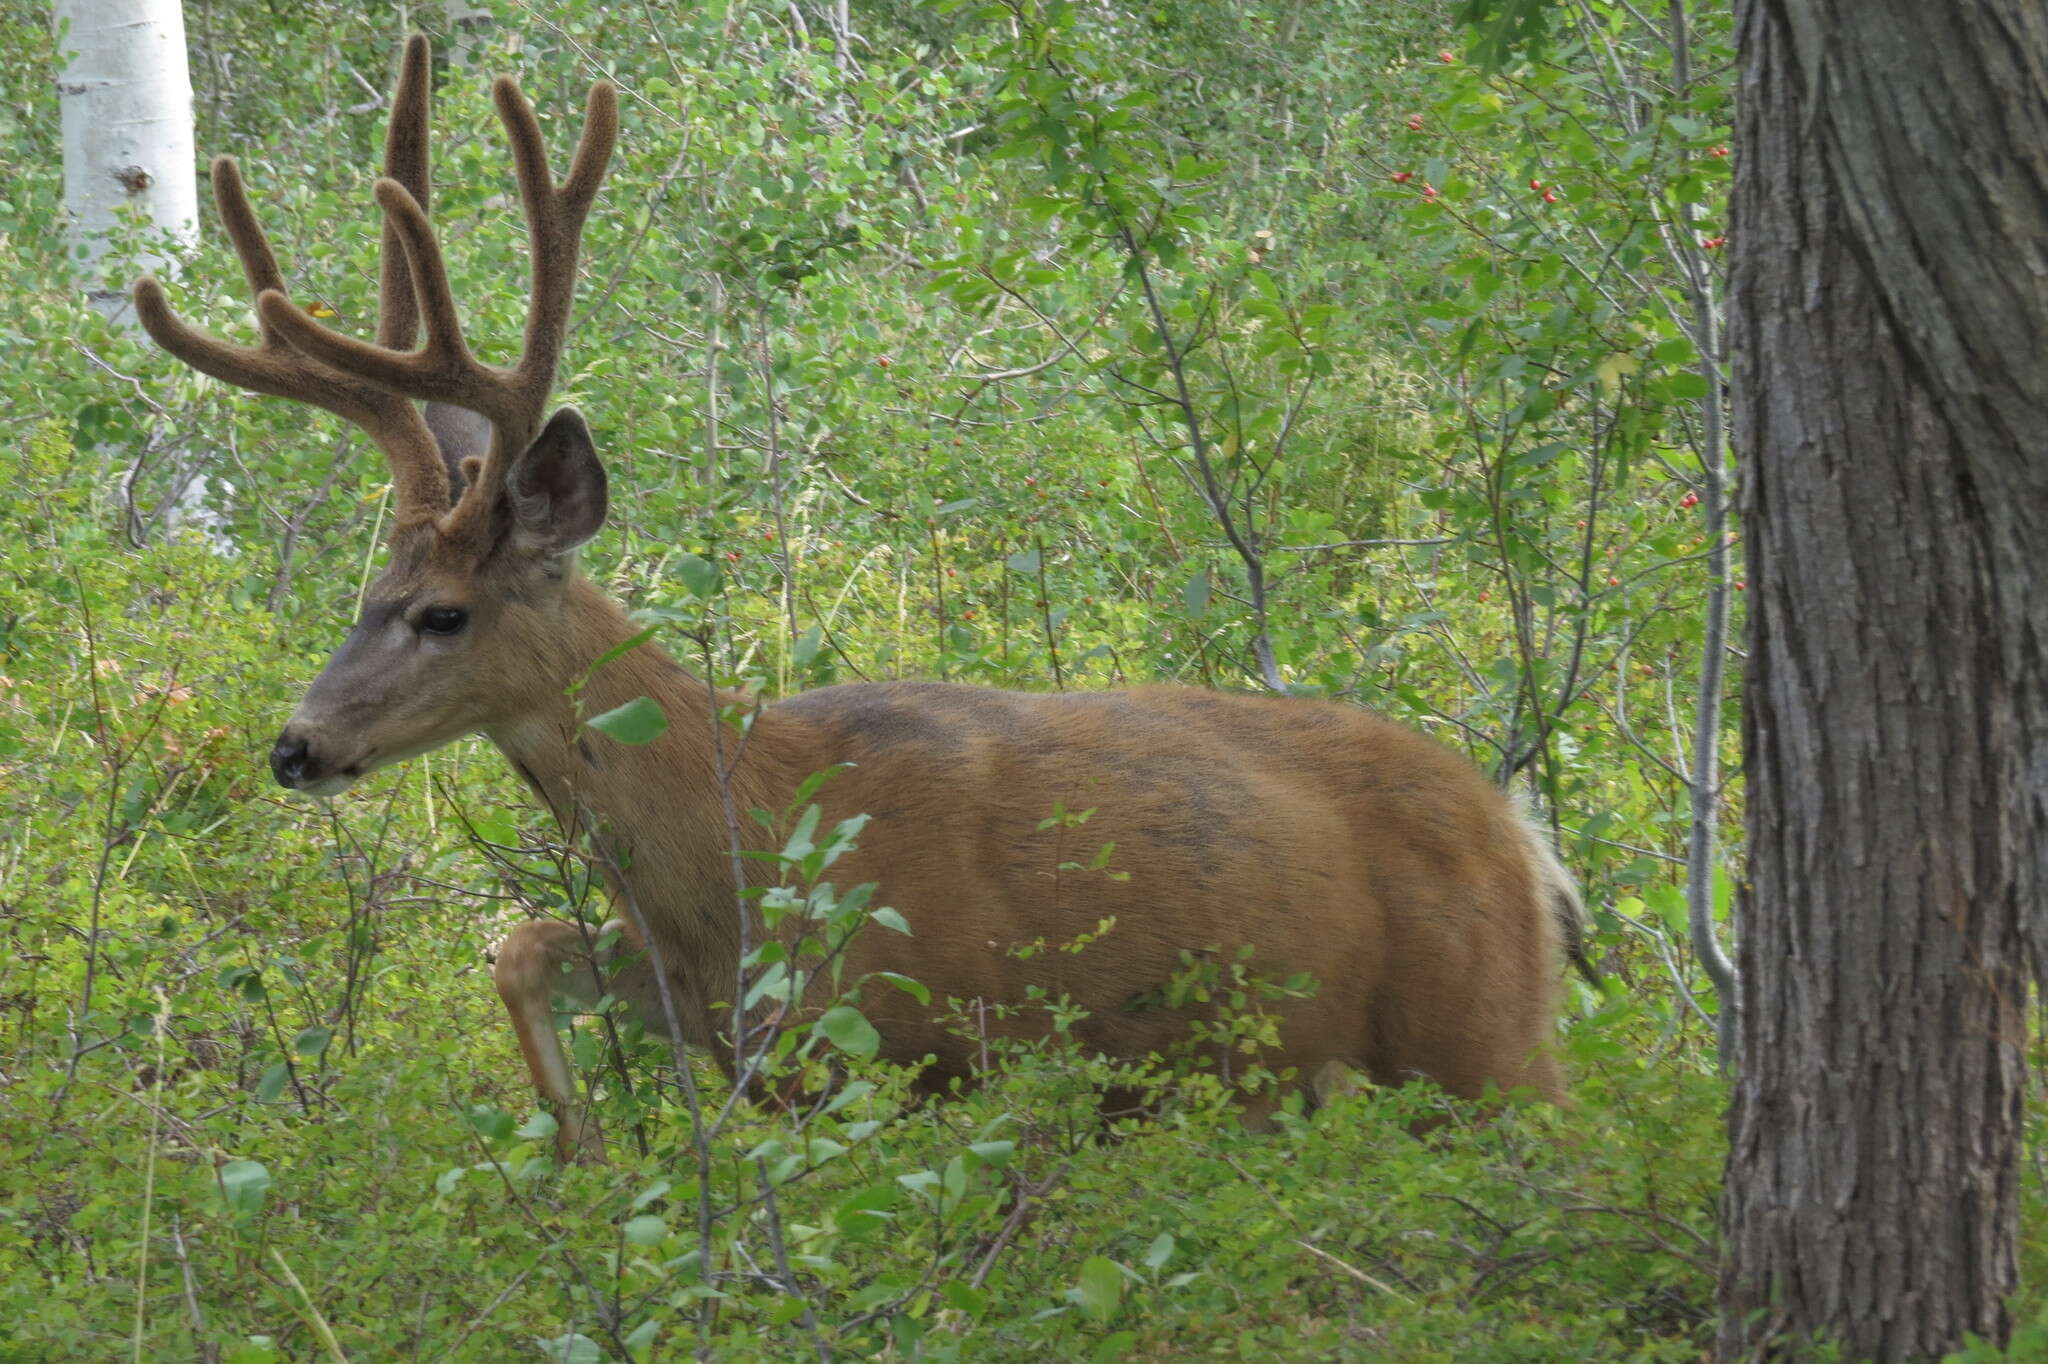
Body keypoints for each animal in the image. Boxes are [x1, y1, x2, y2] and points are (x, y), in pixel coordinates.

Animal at [136, 34, 1581, 1155]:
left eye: (443, 612)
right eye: (364, 589)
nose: (295, 744)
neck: (743, 831)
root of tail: (1521, 839)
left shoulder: (908, 1045)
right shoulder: (710, 998)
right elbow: (521, 945)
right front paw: (582, 1151)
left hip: (1484, 1045)